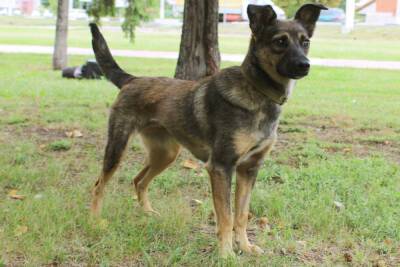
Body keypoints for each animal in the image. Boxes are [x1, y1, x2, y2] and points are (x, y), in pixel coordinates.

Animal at [89, 3, 326, 260]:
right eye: (280, 41)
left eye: (305, 41)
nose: (305, 64)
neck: (257, 92)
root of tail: (132, 80)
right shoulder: (221, 167)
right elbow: (226, 217)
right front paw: (227, 255)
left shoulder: (249, 169)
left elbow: (241, 215)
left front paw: (245, 247)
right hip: (117, 148)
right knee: (99, 185)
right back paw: (96, 221)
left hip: (166, 154)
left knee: (139, 181)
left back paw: (148, 213)